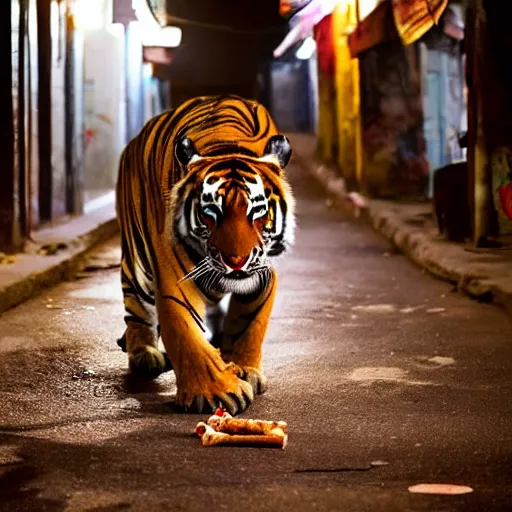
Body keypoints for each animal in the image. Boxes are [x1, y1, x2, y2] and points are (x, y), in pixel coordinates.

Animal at [114, 95, 294, 416]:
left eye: (258, 211)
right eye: (211, 212)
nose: (236, 261)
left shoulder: (264, 274)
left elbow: (250, 324)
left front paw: (243, 369)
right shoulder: (174, 277)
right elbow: (186, 333)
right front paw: (217, 392)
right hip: (136, 262)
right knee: (136, 308)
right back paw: (144, 353)